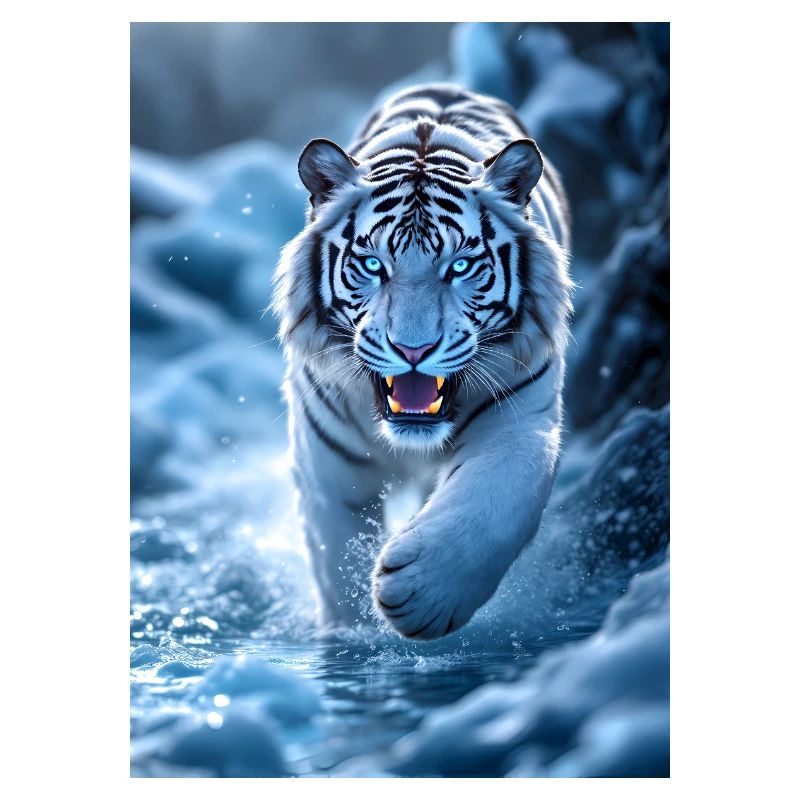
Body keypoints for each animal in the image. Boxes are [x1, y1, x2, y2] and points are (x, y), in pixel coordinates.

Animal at [272, 84, 573, 639]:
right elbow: (336, 563)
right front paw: (353, 635)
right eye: (372, 265)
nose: (413, 350)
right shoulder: (327, 464)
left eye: (461, 266)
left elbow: (495, 500)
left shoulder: (521, 419)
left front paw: (422, 594)